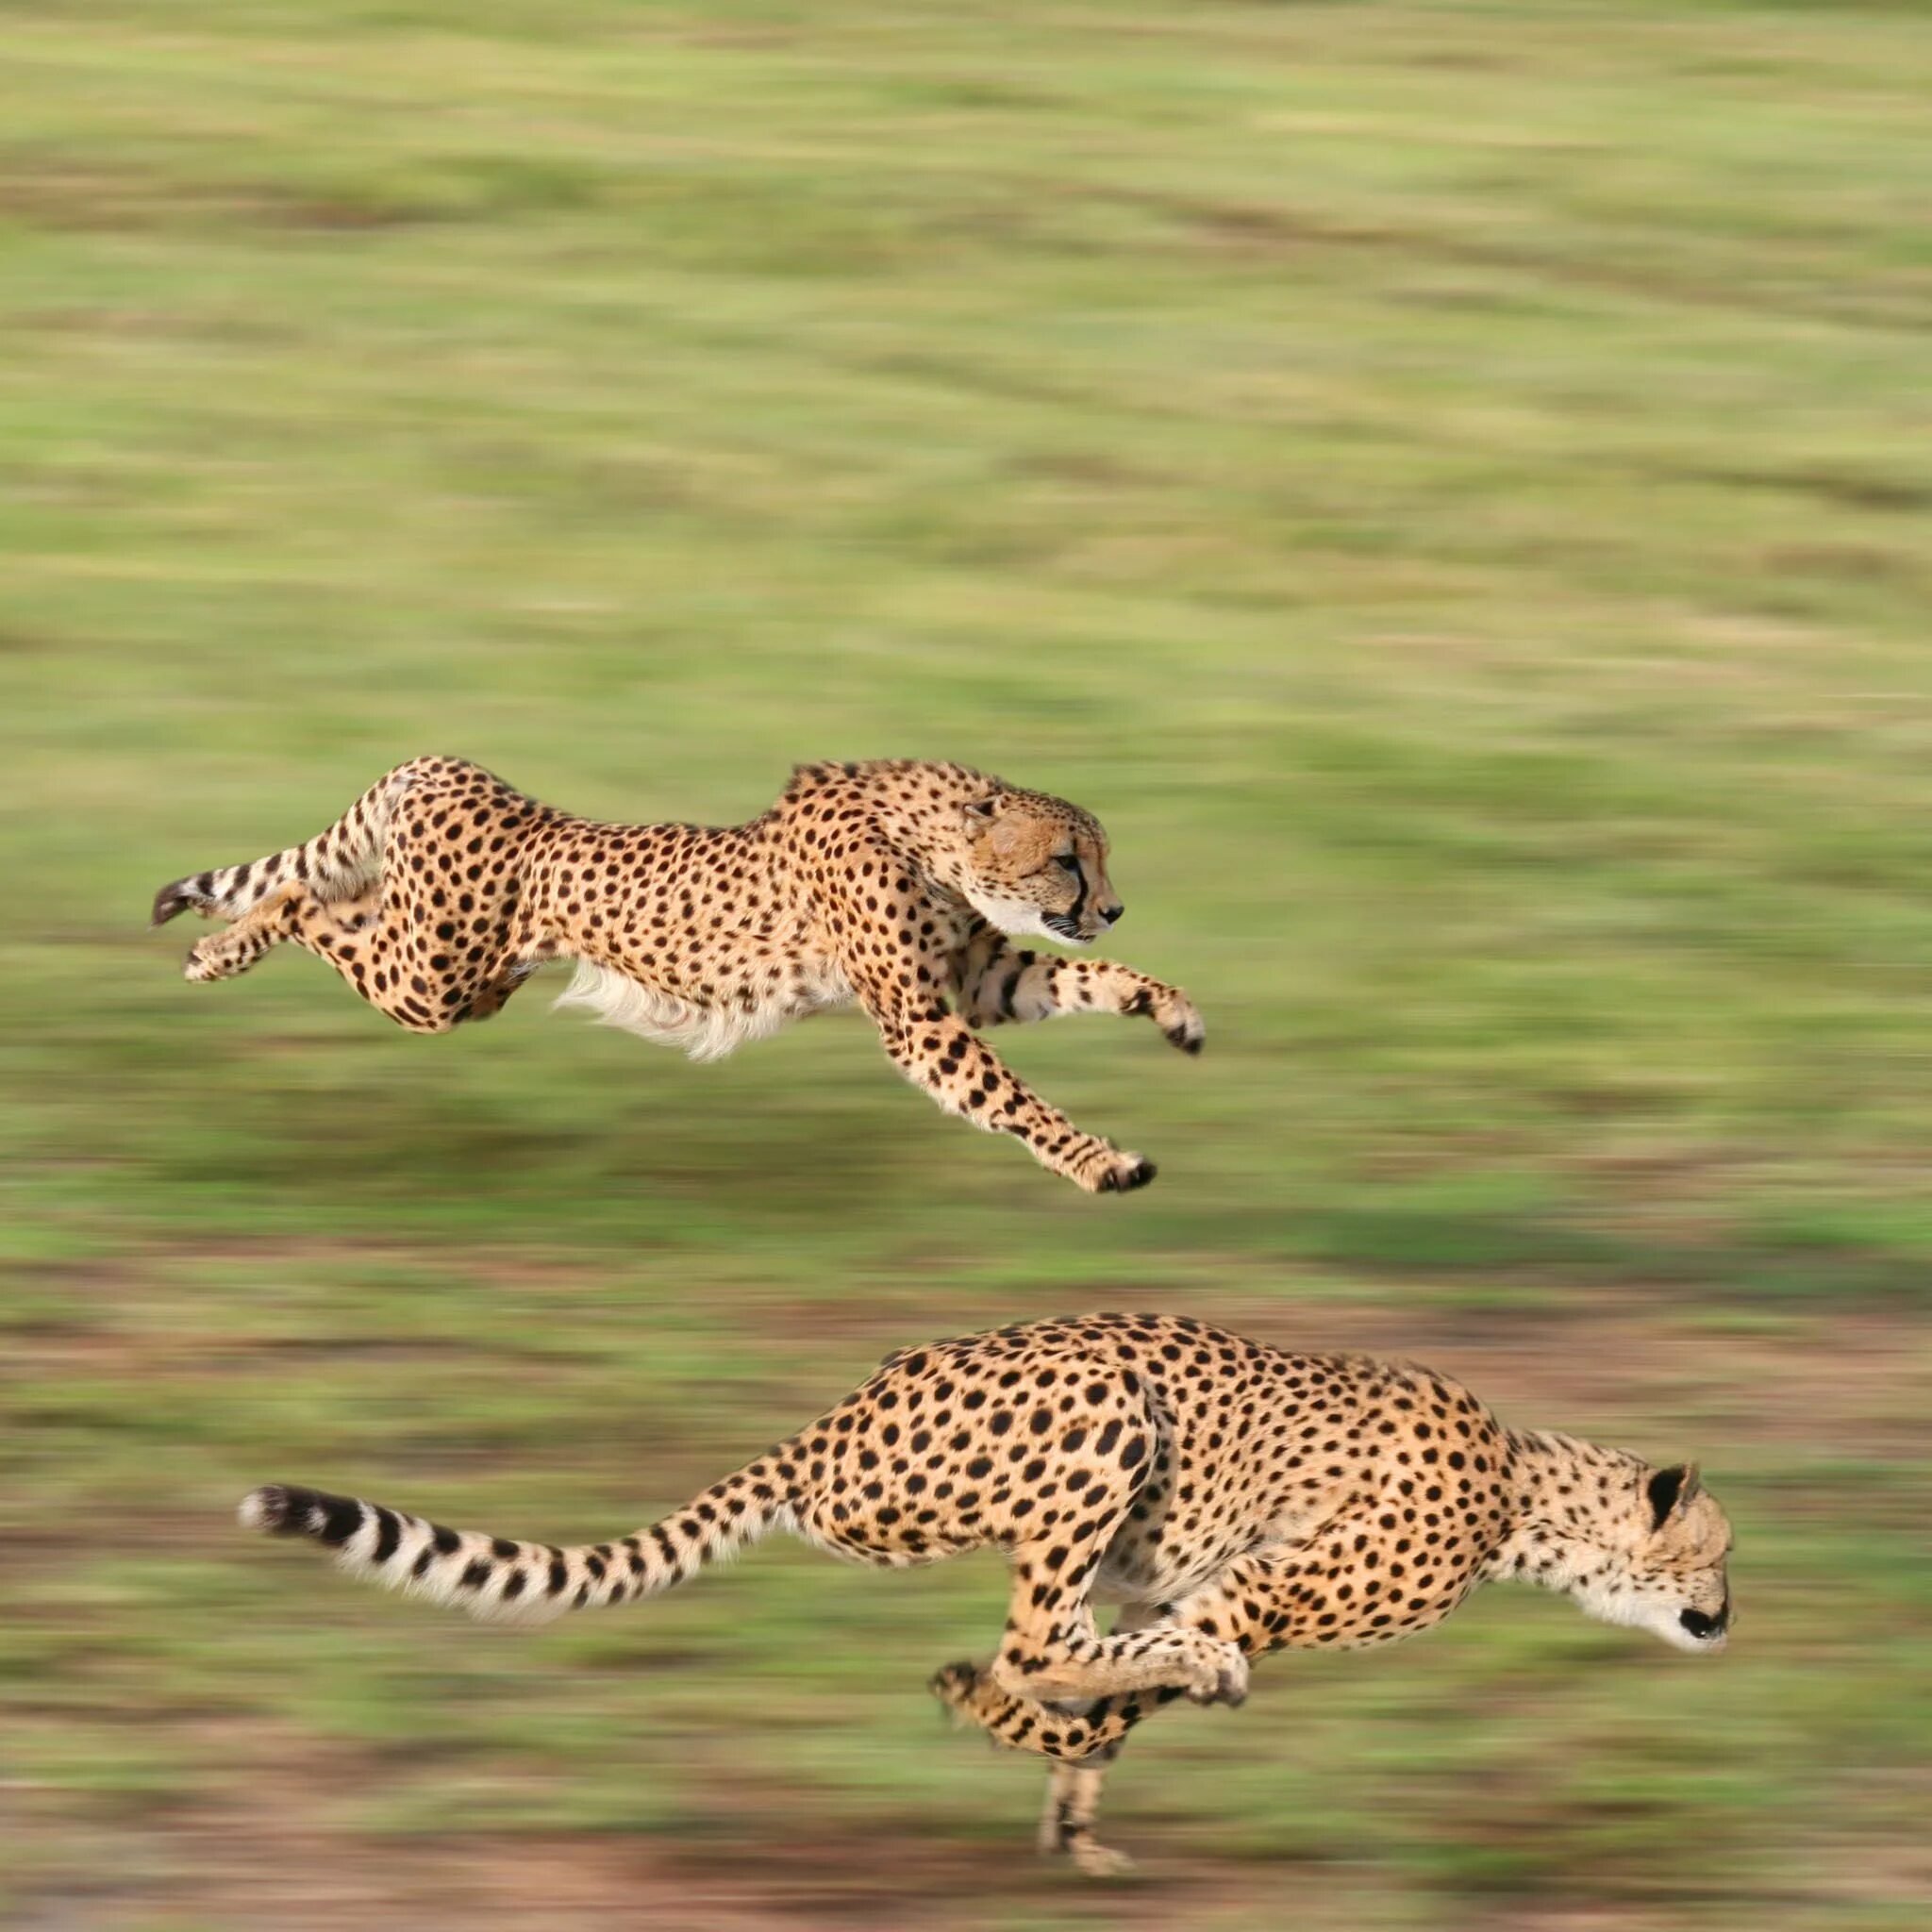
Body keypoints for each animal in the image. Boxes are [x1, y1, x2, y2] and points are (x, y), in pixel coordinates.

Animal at [154, 753, 1205, 1190]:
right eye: (1068, 859)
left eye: (1095, 859)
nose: (1111, 905)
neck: (931, 836)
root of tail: (449, 767)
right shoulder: (920, 1020)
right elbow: (1015, 1099)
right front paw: (1101, 1163)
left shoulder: (976, 982)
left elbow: (1093, 977)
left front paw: (1172, 1010)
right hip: (432, 981)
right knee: (300, 899)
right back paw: (217, 949)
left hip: (450, 964)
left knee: (322, 900)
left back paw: (217, 941)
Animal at [233, 1306, 1731, 1877]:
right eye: (1717, 1554)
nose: (1729, 1616)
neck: (1530, 1492)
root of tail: (835, 1417)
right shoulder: (1255, 1583)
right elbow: (1136, 1670)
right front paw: (1055, 1754)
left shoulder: (1206, 1587)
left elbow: (1123, 1696)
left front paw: (1071, 1816)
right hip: (1103, 1414)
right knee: (1029, 1637)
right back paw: (985, 1686)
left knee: (1047, 1640)